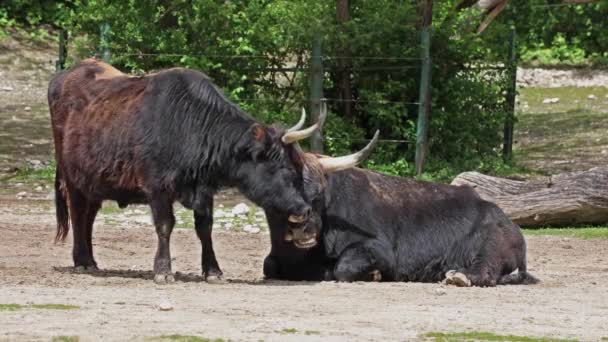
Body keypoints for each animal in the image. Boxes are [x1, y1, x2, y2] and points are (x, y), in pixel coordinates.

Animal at [48, 58, 332, 284]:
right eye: (282, 167)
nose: (304, 211)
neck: (190, 124)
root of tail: (65, 75)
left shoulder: (204, 190)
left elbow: (205, 228)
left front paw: (213, 271)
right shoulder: (157, 187)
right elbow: (165, 225)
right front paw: (163, 270)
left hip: (94, 180)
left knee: (89, 215)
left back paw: (91, 260)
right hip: (72, 177)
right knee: (78, 212)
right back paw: (82, 261)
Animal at [264, 151, 540, 288]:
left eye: (318, 194)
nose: (303, 229)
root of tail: (510, 225)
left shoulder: (377, 249)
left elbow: (342, 268)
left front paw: (374, 275)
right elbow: (269, 266)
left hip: (489, 249)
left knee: (486, 273)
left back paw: (458, 277)